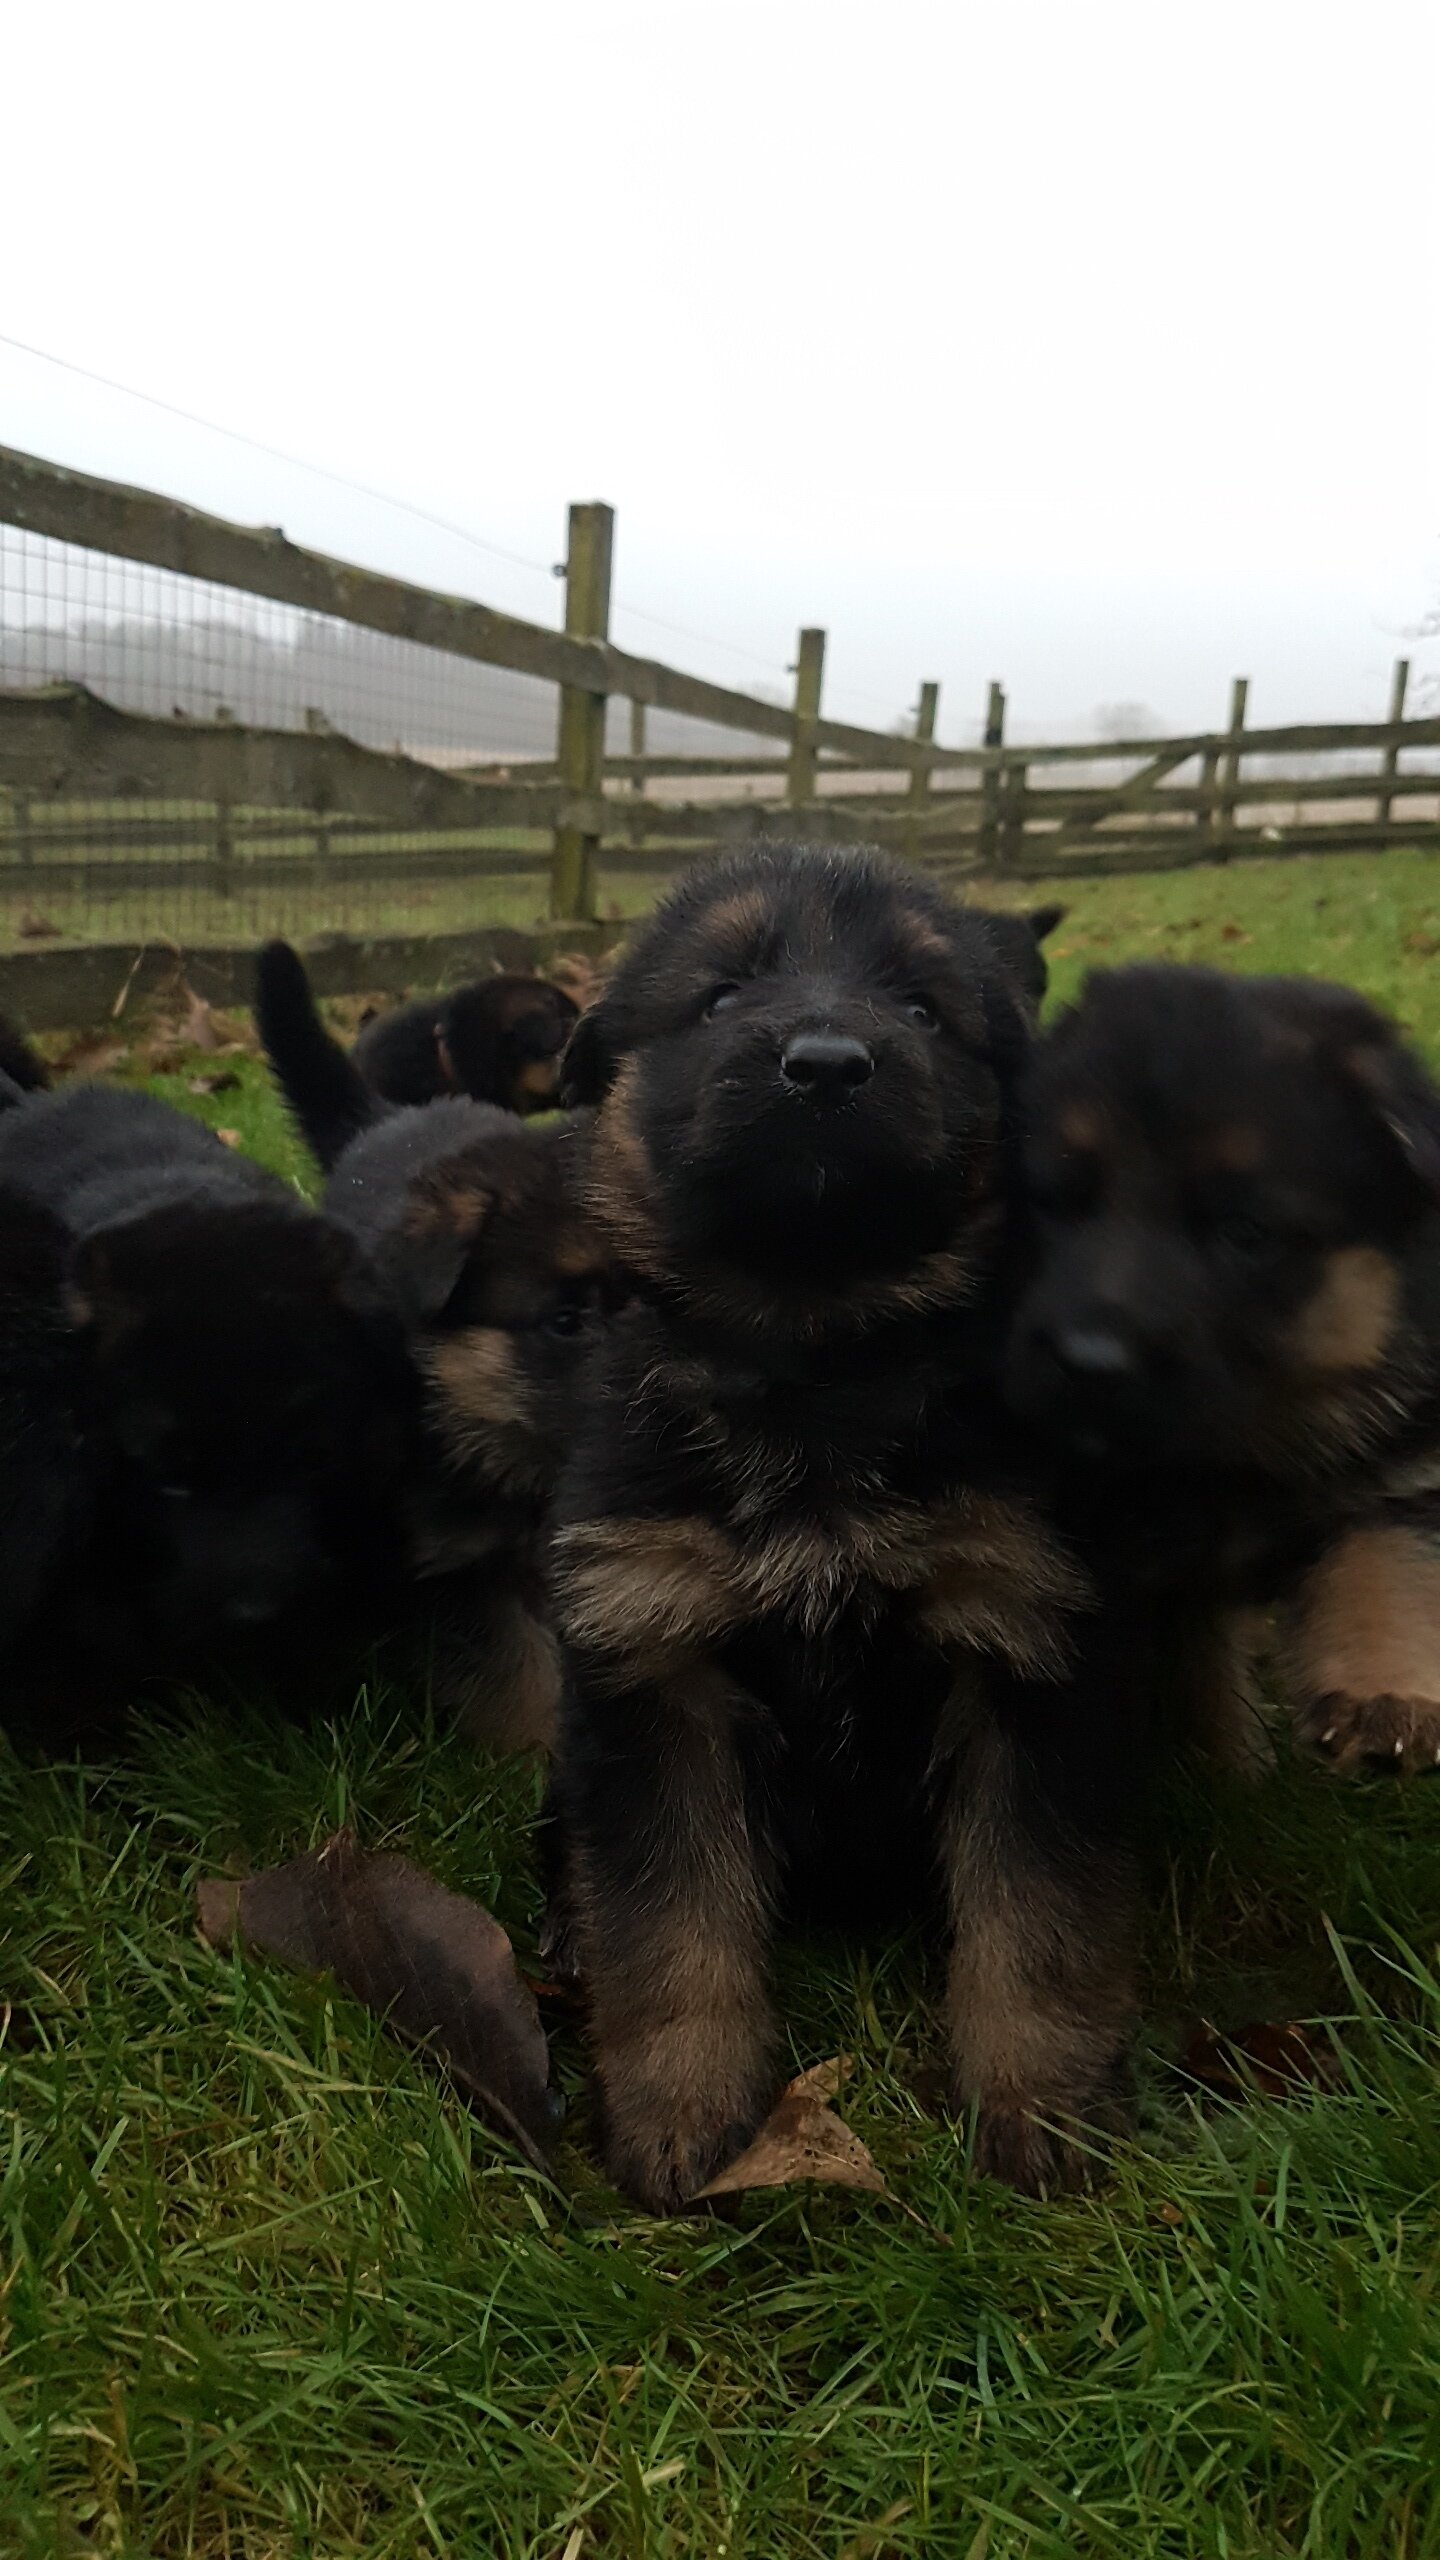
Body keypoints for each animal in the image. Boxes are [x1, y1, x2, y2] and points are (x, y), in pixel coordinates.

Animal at [543, 849, 1117, 2211]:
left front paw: (1037, 2104)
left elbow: (1035, 1914)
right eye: (720, 995)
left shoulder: (1022, 1649)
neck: (814, 1356)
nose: (826, 1064)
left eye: (920, 1007)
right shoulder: (654, 1660)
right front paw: (680, 2111)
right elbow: (670, 1920)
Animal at [1004, 962, 1440, 1781]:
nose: (1086, 1364)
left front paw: (1382, 1696)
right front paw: (1225, 1768)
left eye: (1246, 1231)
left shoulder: (1401, 1461)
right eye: (1053, 1201)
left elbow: (1385, 1558)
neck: (1229, 1454)